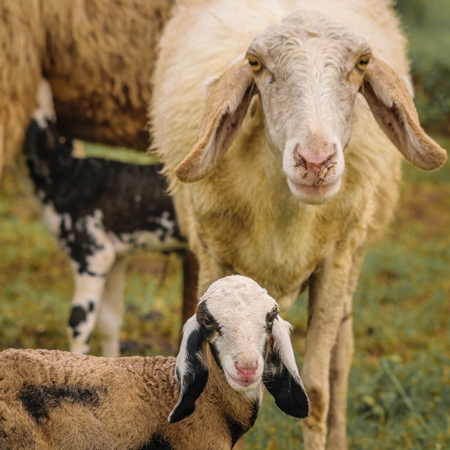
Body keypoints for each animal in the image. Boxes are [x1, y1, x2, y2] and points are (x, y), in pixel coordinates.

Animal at [21, 79, 196, 356]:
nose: (43, 83)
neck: (67, 176)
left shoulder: (92, 253)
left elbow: (78, 325)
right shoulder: (116, 256)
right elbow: (109, 322)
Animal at [150, 0, 446, 450]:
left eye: (362, 63)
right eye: (255, 64)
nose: (315, 161)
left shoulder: (334, 264)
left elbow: (319, 392)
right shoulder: (215, 260)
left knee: (341, 360)